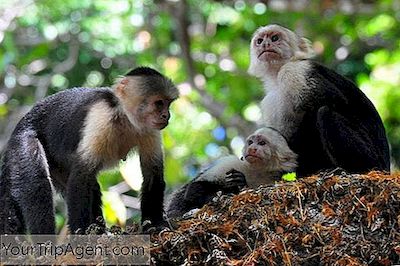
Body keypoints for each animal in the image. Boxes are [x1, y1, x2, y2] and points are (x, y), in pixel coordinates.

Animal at [0, 67, 178, 235]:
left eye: (168, 103)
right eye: (158, 103)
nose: (166, 115)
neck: (125, 117)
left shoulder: (150, 130)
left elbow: (152, 176)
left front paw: (155, 224)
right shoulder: (102, 117)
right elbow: (80, 178)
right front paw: (81, 234)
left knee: (90, 186)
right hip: (22, 143)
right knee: (38, 185)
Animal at [166, 127, 296, 218]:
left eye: (262, 143)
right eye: (250, 142)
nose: (252, 148)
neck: (257, 171)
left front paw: (240, 183)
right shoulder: (232, 163)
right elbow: (194, 189)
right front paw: (233, 187)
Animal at [248, 25, 390, 178]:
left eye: (274, 38)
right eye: (259, 41)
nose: (265, 44)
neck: (276, 75)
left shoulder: (295, 71)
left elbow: (333, 101)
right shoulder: (269, 100)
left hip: (373, 158)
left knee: (325, 113)